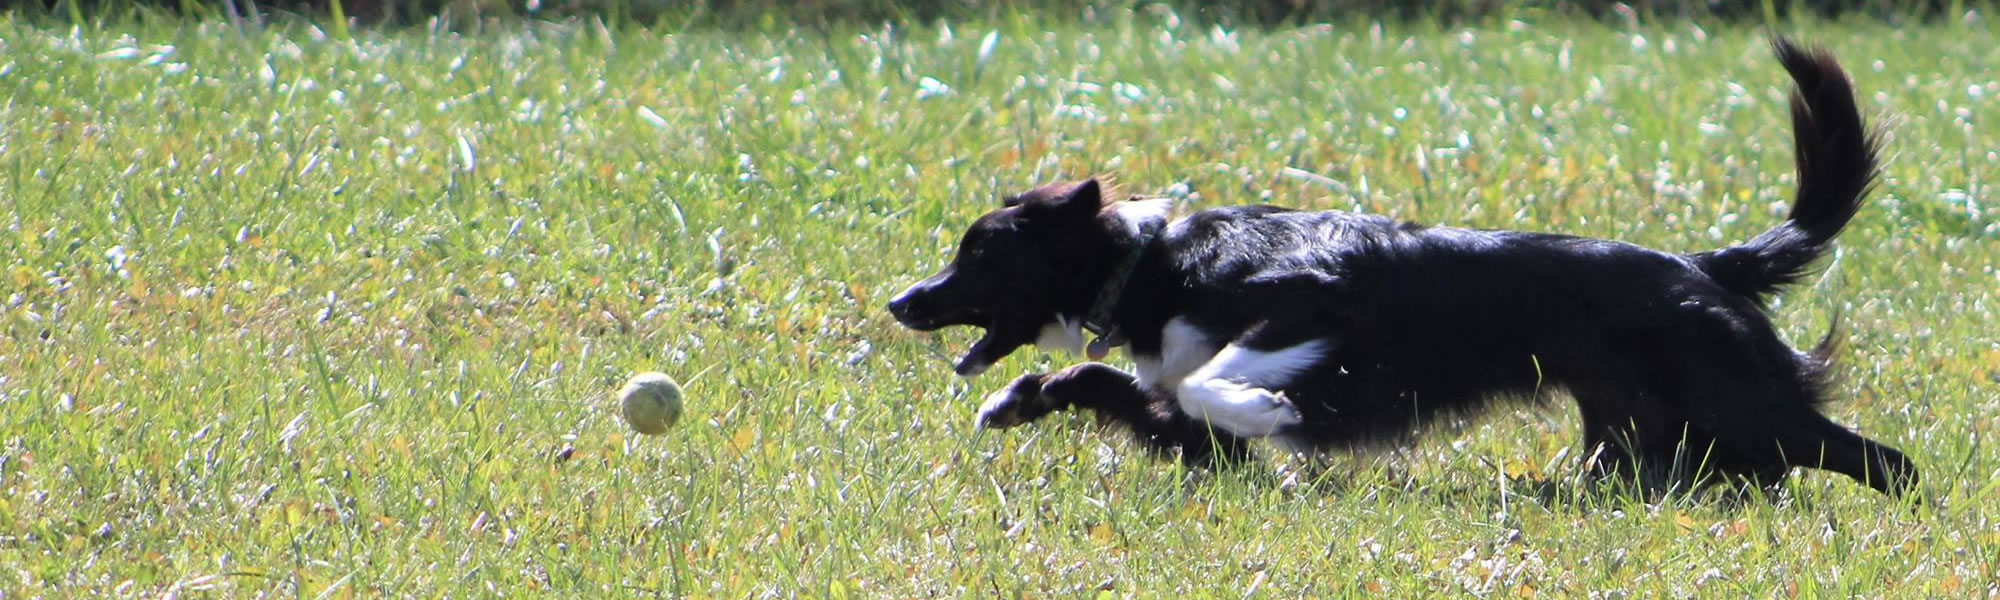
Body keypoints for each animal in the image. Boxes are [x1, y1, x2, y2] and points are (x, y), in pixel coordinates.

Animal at [884, 37, 1912, 496]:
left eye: (980, 251)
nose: (901, 302)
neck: (1153, 265)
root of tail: (1701, 265)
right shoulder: (1189, 431)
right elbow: (1123, 386)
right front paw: (1018, 399)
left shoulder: (1313, 299)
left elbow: (1224, 379)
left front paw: (1272, 409)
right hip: (1650, 438)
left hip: (1739, 402)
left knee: (1886, 461)